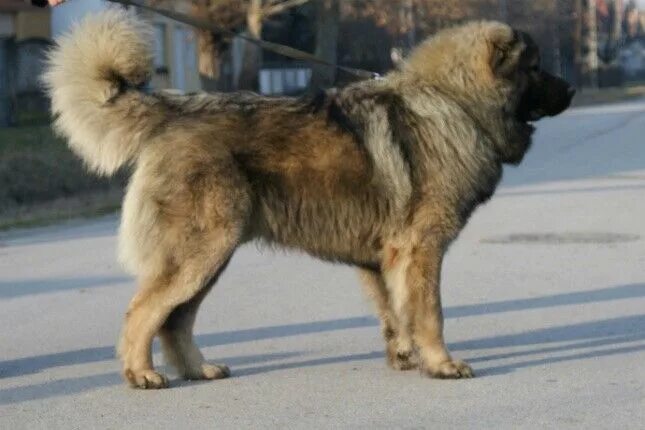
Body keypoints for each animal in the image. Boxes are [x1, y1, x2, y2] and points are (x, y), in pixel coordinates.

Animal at [42, 10, 572, 388]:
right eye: (536, 68)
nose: (570, 88)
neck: (454, 103)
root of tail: (176, 110)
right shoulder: (421, 250)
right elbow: (430, 313)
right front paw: (442, 365)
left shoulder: (385, 258)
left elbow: (395, 313)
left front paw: (405, 357)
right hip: (199, 252)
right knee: (143, 312)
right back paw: (142, 375)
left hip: (212, 257)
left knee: (174, 320)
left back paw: (197, 370)